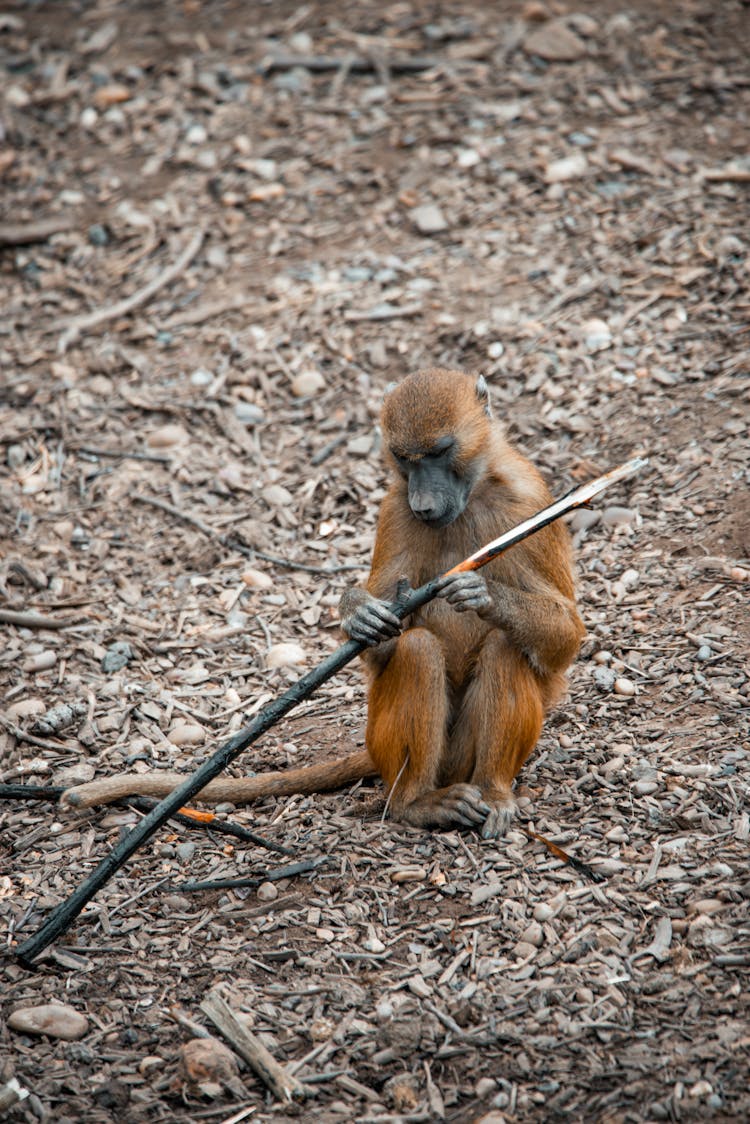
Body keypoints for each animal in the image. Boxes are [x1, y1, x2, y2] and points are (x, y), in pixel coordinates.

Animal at [60, 368, 584, 836]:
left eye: (439, 452)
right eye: (404, 459)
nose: (425, 505)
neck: (473, 492)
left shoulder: (530, 502)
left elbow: (566, 638)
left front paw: (484, 595)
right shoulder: (395, 510)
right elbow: (384, 647)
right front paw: (359, 613)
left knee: (507, 648)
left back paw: (493, 789)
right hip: (398, 748)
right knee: (418, 651)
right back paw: (416, 804)